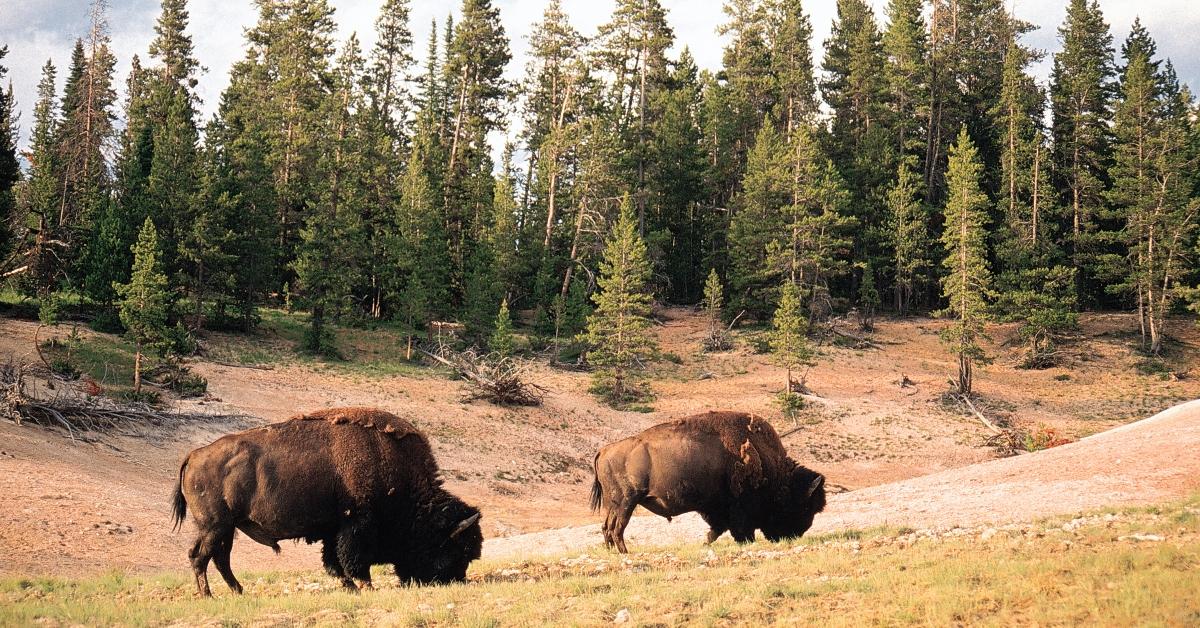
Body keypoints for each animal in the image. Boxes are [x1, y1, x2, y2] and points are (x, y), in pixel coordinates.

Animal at [174, 410, 482, 597]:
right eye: (456, 550)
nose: (455, 581)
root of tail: (195, 454)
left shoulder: (334, 530)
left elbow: (334, 561)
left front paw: (351, 587)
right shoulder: (357, 524)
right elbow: (353, 559)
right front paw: (365, 586)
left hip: (225, 529)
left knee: (217, 558)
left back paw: (238, 591)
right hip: (215, 526)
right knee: (200, 556)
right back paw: (208, 595)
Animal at [590, 413, 825, 554]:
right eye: (805, 507)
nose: (795, 535)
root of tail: (605, 450)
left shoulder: (717, 509)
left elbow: (717, 529)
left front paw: (705, 542)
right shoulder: (738, 508)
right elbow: (736, 529)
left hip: (615, 504)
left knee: (607, 527)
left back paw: (612, 552)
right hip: (626, 502)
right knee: (617, 527)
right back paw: (625, 552)